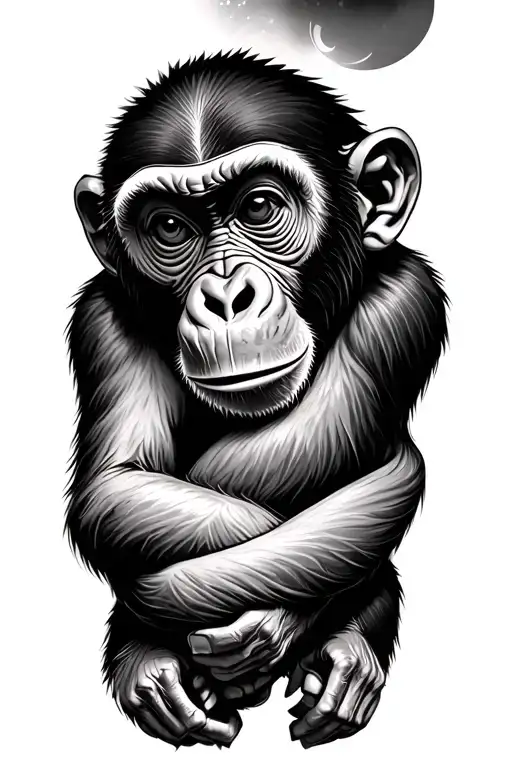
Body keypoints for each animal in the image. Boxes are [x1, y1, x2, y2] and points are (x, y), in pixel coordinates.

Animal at [66, 51, 448, 750]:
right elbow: (116, 488)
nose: (225, 297)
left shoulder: (405, 301)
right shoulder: (100, 322)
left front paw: (280, 623)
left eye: (260, 205)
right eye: (169, 226)